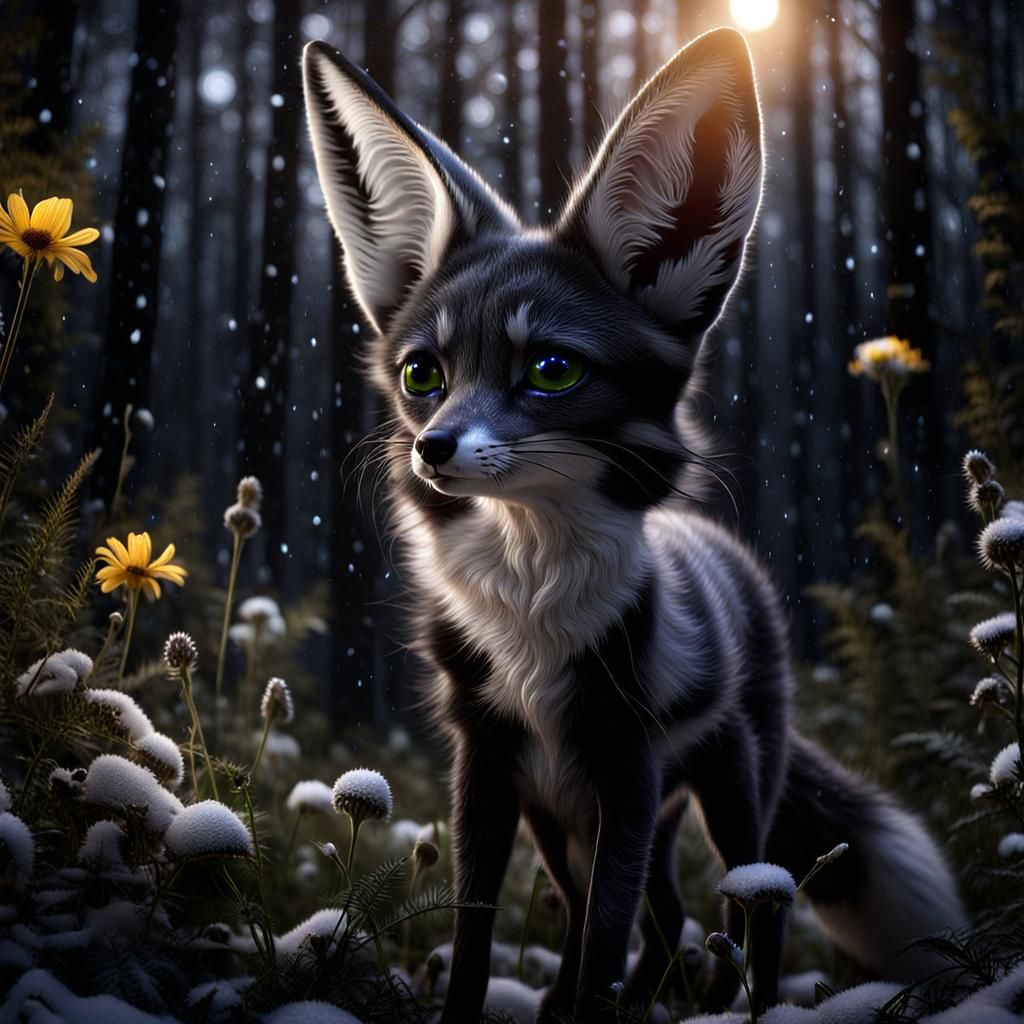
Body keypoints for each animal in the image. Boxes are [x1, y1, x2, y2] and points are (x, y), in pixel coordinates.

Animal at [302, 26, 966, 1024]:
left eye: (551, 369)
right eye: (424, 374)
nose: (434, 448)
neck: (534, 619)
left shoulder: (626, 764)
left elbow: (603, 944)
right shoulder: (490, 762)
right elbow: (482, 935)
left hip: (728, 790)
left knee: (749, 910)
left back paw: (738, 1006)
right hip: (576, 820)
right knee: (661, 922)